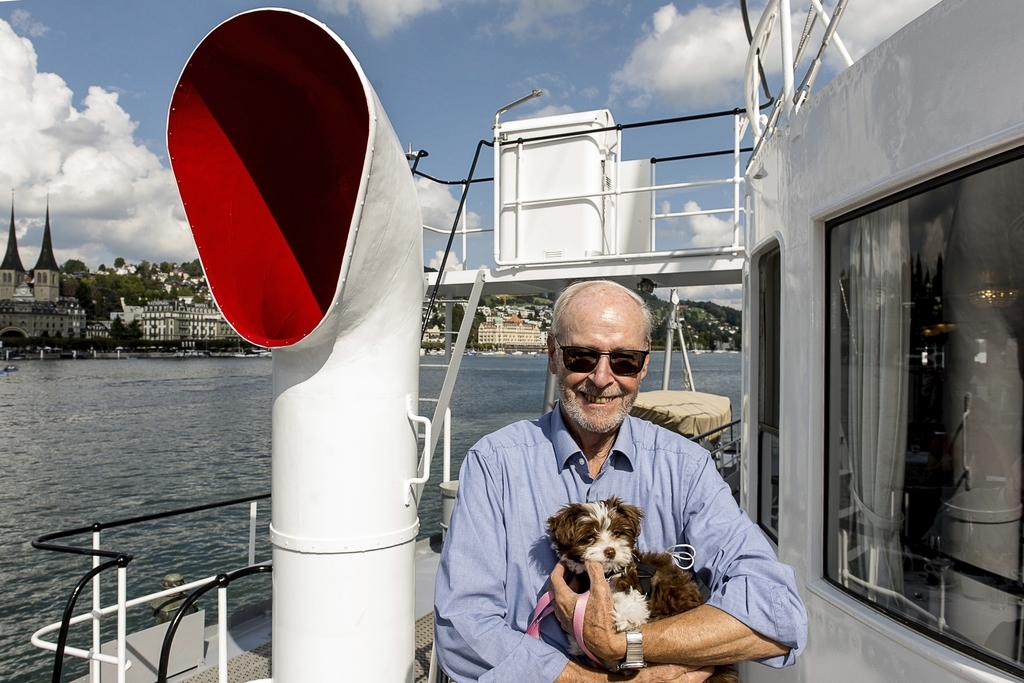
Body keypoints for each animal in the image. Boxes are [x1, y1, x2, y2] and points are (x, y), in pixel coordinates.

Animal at [548, 497, 741, 683]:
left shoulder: (634, 578)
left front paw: (628, 616)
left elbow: (630, 594)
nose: (610, 551)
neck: (609, 573)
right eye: (589, 537)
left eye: (617, 533)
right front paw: (576, 643)